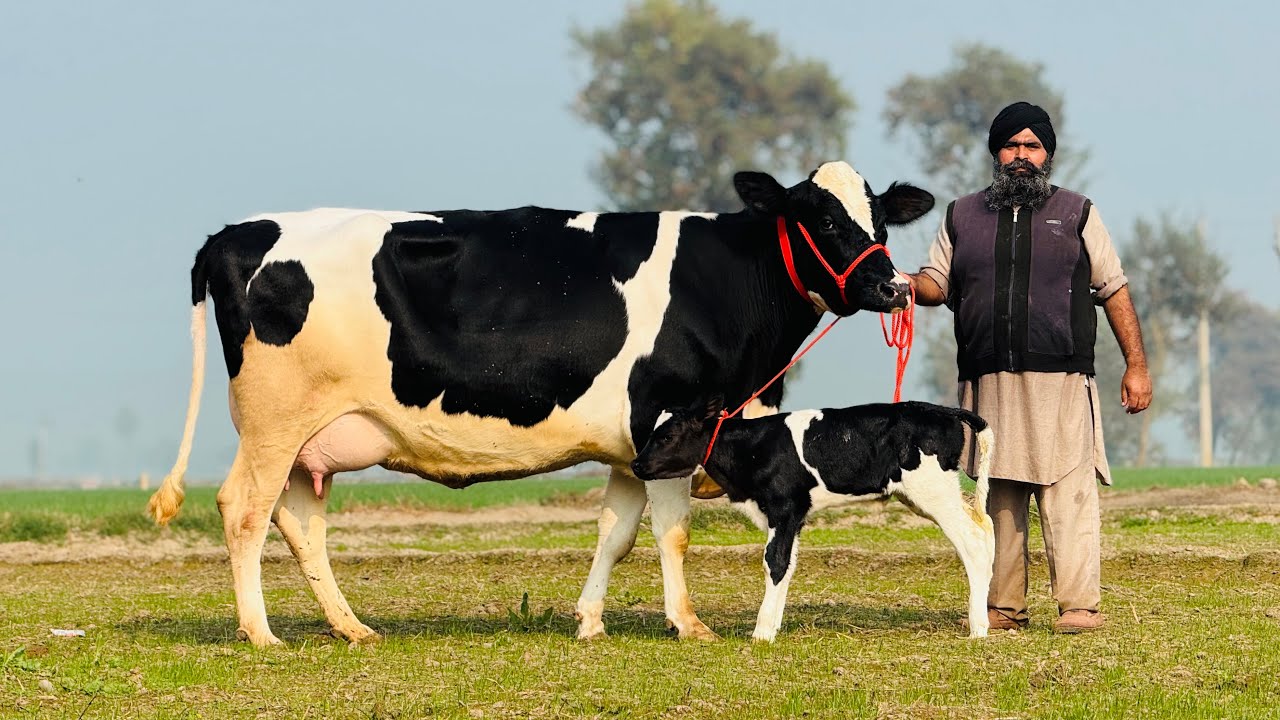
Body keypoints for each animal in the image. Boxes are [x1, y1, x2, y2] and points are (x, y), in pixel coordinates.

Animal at [148, 161, 934, 646]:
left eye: (881, 224)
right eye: (822, 221)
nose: (894, 287)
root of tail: (235, 232)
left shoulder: (633, 444)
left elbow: (616, 532)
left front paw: (589, 621)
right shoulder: (673, 417)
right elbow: (672, 533)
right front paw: (689, 624)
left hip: (313, 439)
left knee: (299, 522)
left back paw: (352, 627)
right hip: (272, 422)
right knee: (244, 510)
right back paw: (261, 633)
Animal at [631, 399, 996, 641]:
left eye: (666, 436)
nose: (636, 464)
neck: (753, 447)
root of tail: (941, 410)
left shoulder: (783, 507)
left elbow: (775, 562)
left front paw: (762, 633)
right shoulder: (793, 516)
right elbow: (788, 563)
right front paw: (773, 625)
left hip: (933, 491)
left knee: (974, 543)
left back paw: (978, 628)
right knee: (986, 529)